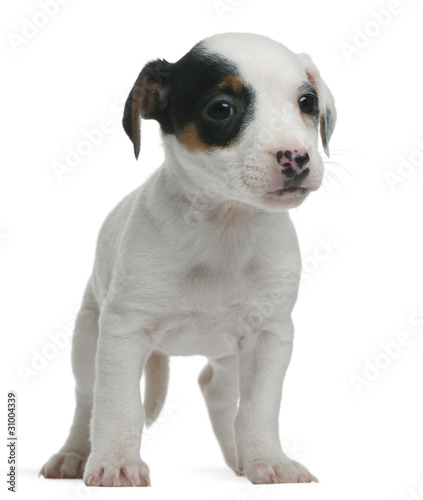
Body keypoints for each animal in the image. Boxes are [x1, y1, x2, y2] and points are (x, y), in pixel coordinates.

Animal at [40, 33, 338, 486]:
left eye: (306, 102)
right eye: (221, 109)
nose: (297, 157)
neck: (223, 231)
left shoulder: (270, 336)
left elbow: (259, 407)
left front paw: (268, 460)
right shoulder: (123, 333)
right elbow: (118, 405)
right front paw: (116, 463)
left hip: (229, 353)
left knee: (217, 389)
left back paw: (239, 458)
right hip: (87, 336)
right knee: (87, 398)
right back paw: (74, 454)